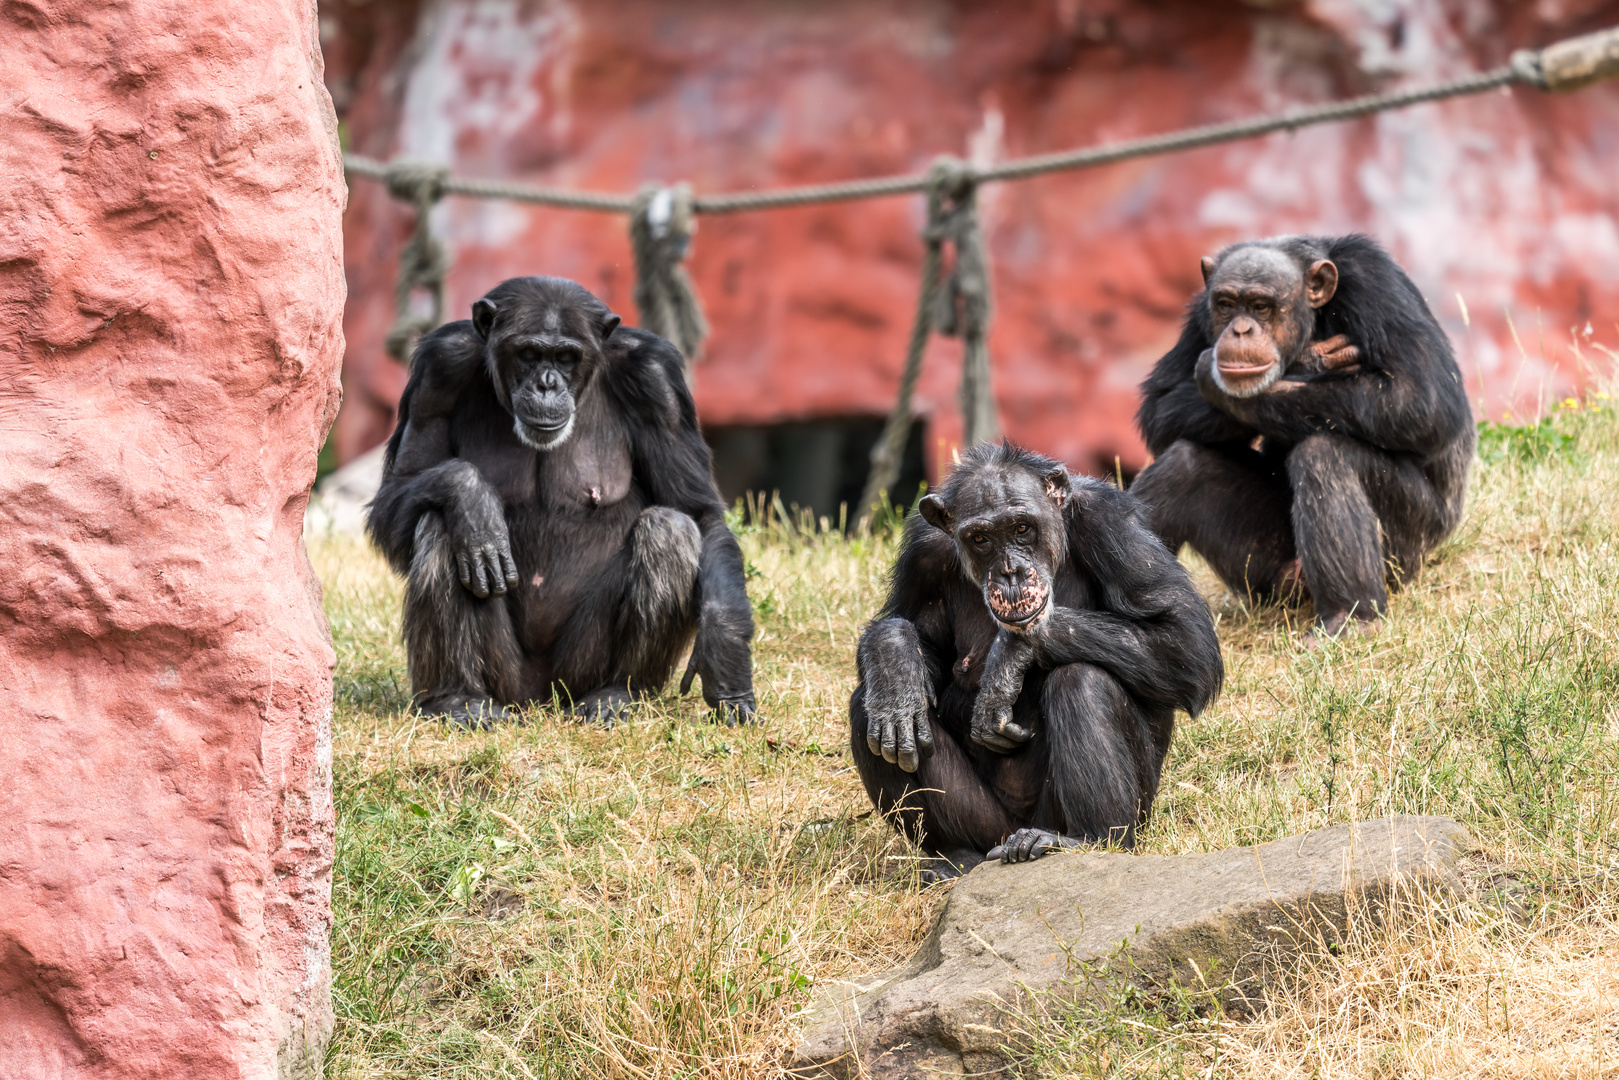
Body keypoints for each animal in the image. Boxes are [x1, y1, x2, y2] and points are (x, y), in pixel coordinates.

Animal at [364, 278, 754, 731]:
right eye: (529, 353)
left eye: (566, 357)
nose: (547, 384)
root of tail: (540, 700)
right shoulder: (438, 371)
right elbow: (399, 492)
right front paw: (469, 494)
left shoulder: (657, 383)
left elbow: (697, 511)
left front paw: (725, 660)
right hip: (506, 676)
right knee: (441, 524)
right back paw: (457, 699)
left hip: (577, 669)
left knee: (669, 530)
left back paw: (619, 693)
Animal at [854, 440, 1217, 880]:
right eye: (980, 538)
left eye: (1022, 529)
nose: (1010, 571)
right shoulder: (923, 556)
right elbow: (912, 635)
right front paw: (893, 662)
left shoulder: (1113, 525)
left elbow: (1185, 640)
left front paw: (1012, 654)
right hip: (988, 826)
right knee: (866, 712)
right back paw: (954, 856)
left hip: (1104, 812)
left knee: (1082, 680)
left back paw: (1089, 839)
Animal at [1133, 234, 1476, 641]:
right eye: (1227, 305)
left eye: (1262, 307)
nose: (1241, 330)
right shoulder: (1201, 310)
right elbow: (1160, 407)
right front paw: (1310, 360)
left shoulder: (1376, 283)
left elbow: (1422, 399)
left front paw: (1305, 363)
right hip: (1264, 571)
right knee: (1184, 465)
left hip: (1411, 547)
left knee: (1324, 455)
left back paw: (1350, 617)